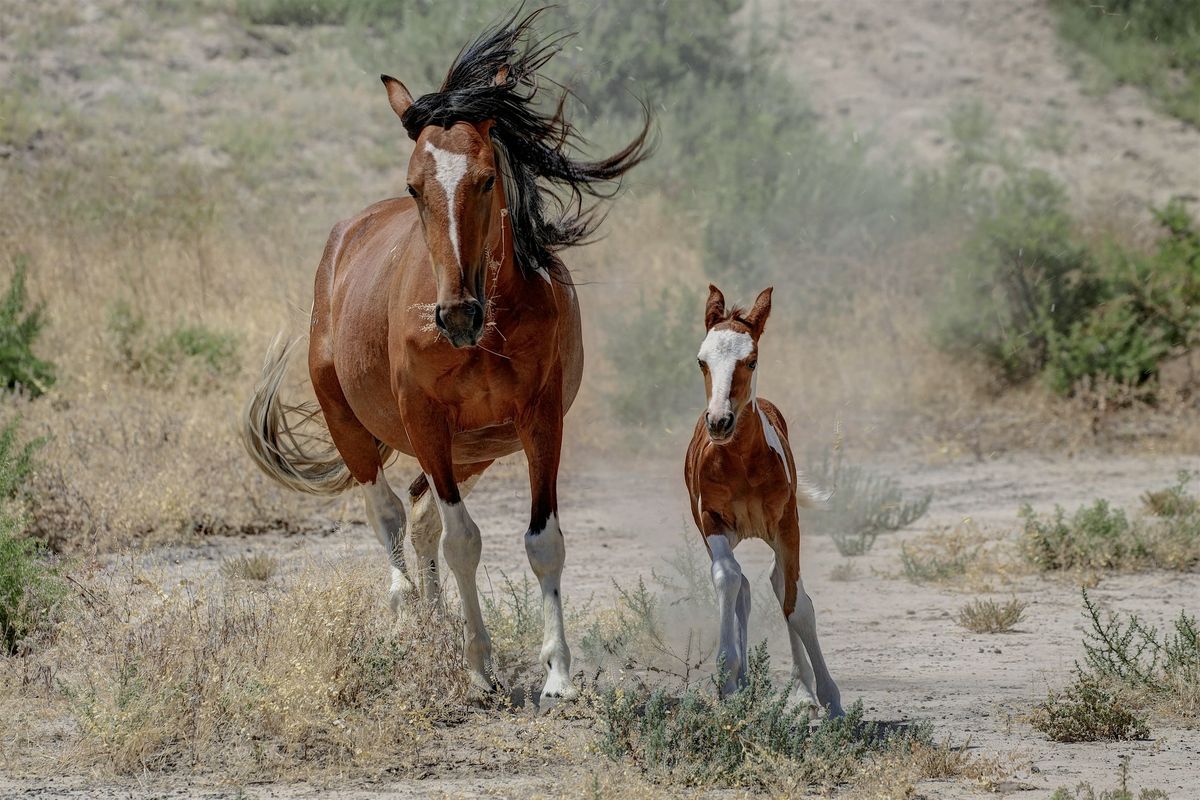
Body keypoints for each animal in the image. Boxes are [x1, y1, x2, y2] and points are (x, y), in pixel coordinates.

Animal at [240, 10, 652, 700]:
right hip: (355, 426)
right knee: (387, 512)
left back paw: (435, 622)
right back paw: (407, 613)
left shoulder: (540, 420)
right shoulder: (426, 420)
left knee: (420, 512)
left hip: (475, 450)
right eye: (414, 186)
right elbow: (464, 539)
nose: (457, 315)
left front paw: (558, 675)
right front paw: (480, 667)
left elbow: (543, 541)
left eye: (487, 178)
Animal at [686, 286, 844, 719]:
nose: (719, 422)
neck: (741, 462)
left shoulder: (788, 524)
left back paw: (806, 691)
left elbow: (797, 605)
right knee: (742, 584)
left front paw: (829, 699)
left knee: (781, 585)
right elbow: (727, 578)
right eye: (702, 360)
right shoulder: (711, 520)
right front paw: (727, 679)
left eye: (751, 360)